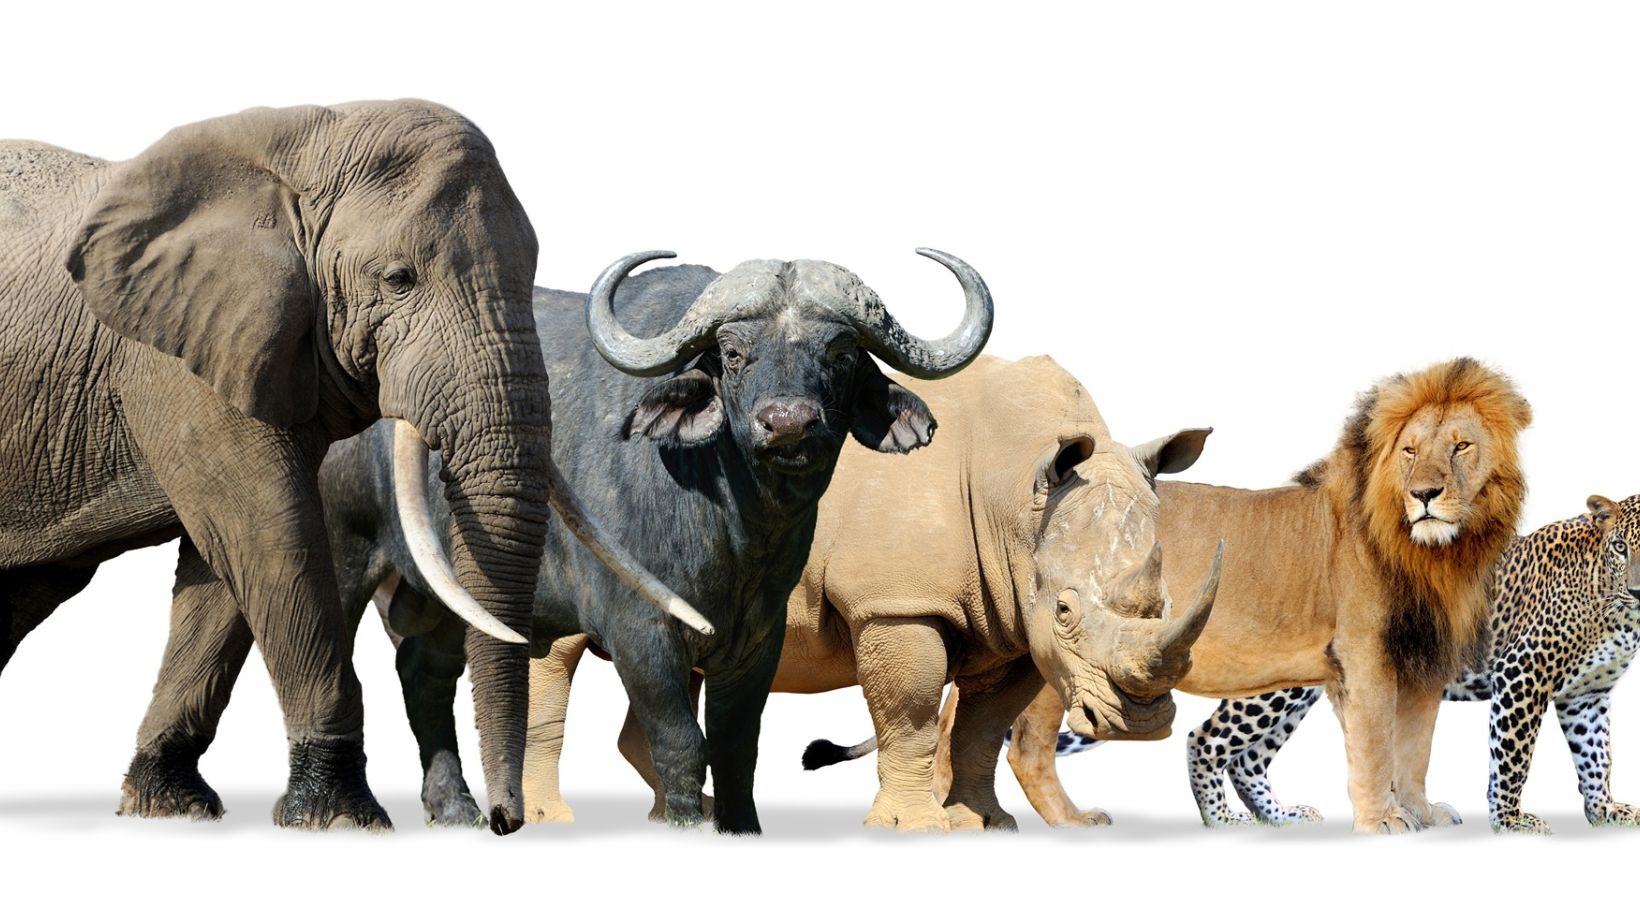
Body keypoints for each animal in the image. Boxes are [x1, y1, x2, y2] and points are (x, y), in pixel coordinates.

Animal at [0, 101, 696, 833]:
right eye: (398, 279)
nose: (505, 821)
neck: (301, 138)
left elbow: (220, 571)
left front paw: (169, 805)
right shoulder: (178, 356)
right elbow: (269, 534)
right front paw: (339, 816)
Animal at [522, 355, 1225, 831]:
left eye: (1163, 603)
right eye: (1066, 611)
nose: (1140, 725)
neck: (1018, 494)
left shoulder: (1012, 623)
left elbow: (981, 726)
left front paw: (984, 825)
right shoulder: (899, 605)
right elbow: (910, 714)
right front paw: (915, 828)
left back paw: (689, 817)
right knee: (554, 650)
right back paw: (556, 821)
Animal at [946, 357, 1531, 832]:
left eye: (1460, 445)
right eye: (1409, 451)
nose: (1424, 494)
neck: (1438, 554)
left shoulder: (1423, 662)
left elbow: (1413, 750)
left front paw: (1419, 812)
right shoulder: (1365, 656)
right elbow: (1374, 747)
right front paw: (1381, 821)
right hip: (1062, 657)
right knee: (1025, 747)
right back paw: (1064, 821)